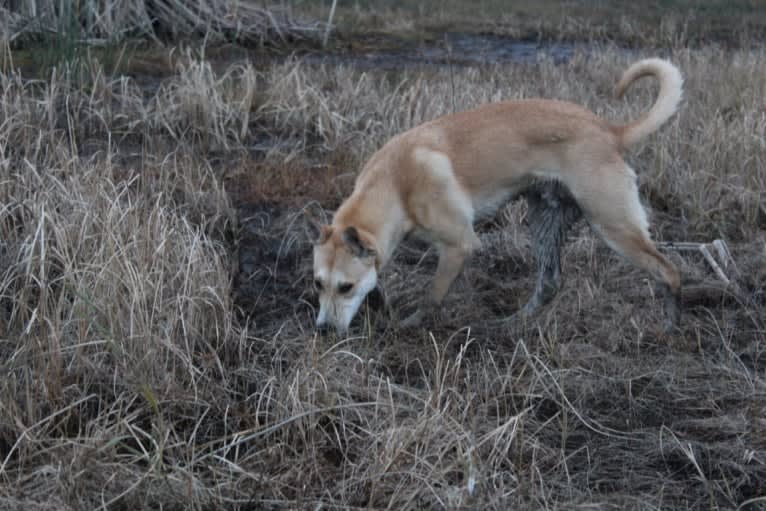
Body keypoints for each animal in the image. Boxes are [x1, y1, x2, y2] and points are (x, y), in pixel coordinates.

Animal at [312, 59, 684, 336]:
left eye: (345, 287)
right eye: (318, 284)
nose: (323, 331)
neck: (394, 183)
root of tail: (611, 132)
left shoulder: (459, 246)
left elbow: (432, 296)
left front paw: (409, 324)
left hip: (615, 226)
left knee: (669, 272)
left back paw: (670, 327)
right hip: (546, 222)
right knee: (550, 283)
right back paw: (512, 324)